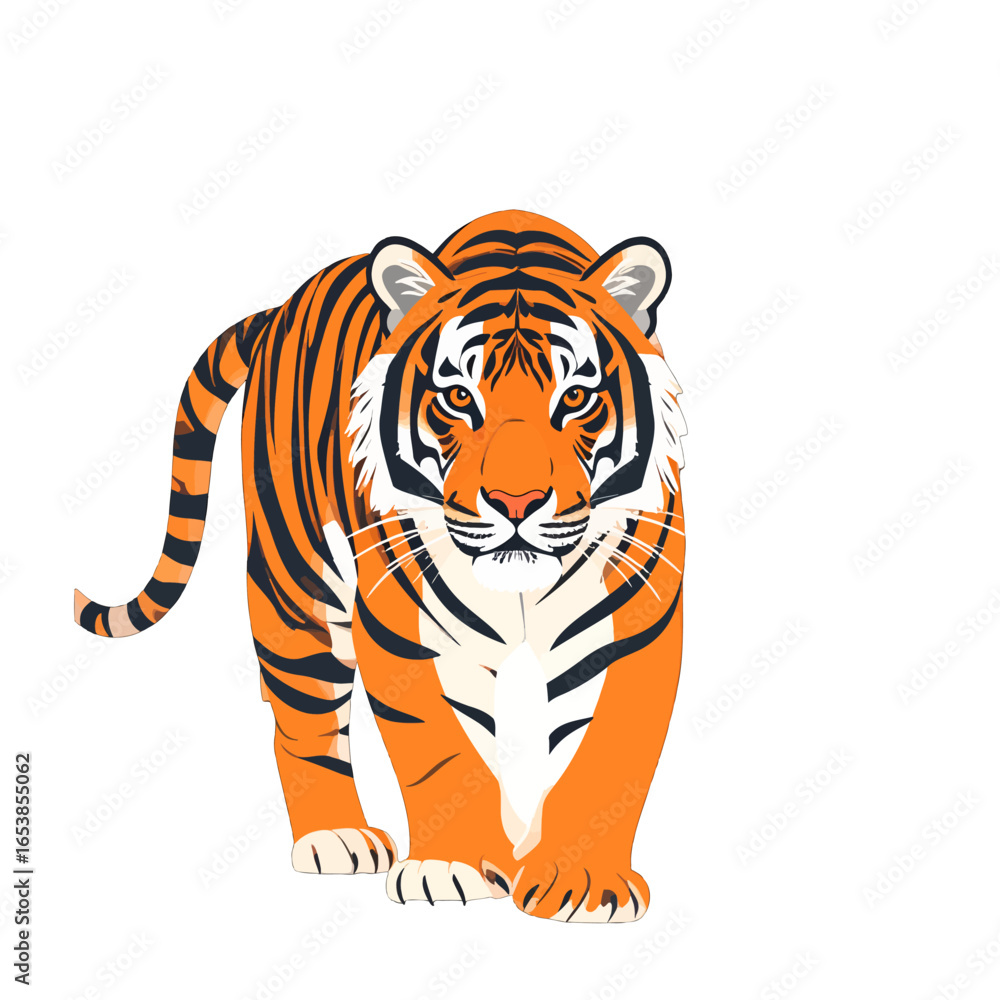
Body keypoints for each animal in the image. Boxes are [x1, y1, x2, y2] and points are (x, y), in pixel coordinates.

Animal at [74, 210, 686, 923]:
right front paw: (451, 867)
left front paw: (580, 883)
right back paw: (335, 837)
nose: (516, 501)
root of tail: (282, 307)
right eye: (457, 398)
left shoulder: (635, 623)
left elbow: (606, 755)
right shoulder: (402, 627)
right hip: (295, 584)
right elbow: (438, 749)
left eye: (577, 399)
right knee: (301, 717)